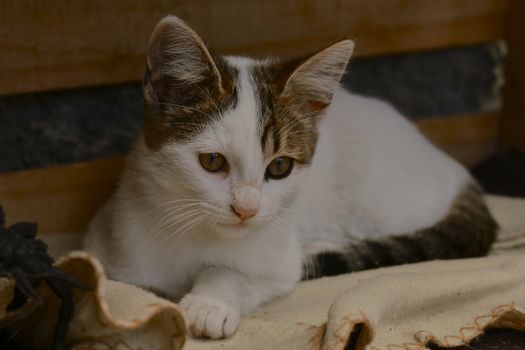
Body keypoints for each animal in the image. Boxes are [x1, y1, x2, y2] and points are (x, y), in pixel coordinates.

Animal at [82, 15, 496, 340]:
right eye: (212, 161)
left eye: (279, 167)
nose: (246, 209)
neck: (194, 231)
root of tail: (452, 166)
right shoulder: (109, 247)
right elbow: (121, 287)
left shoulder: (280, 263)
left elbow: (241, 273)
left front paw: (210, 302)